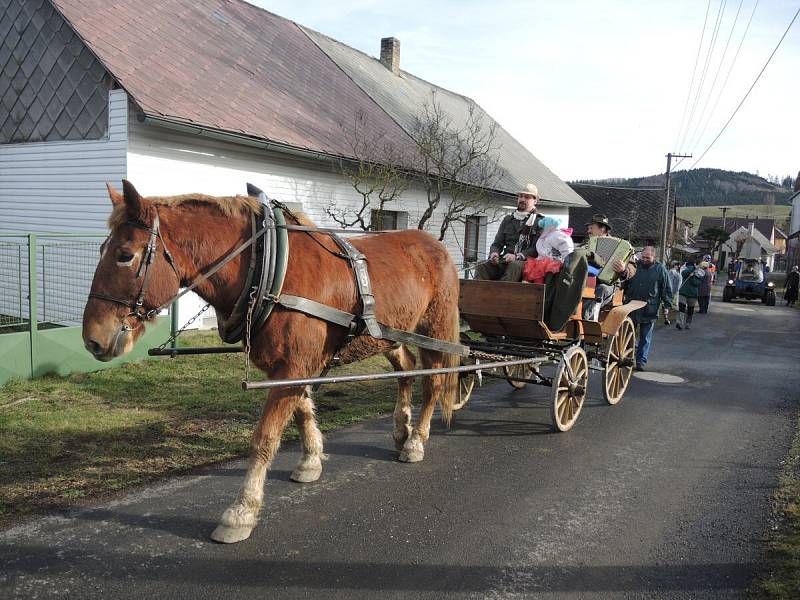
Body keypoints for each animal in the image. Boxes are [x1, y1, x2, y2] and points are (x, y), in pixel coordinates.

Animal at [83, 179, 460, 544]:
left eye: (124, 255)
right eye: (101, 249)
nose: (92, 339)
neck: (267, 269)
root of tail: (436, 246)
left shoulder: (293, 367)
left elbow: (265, 436)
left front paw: (241, 511)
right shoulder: (291, 367)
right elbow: (303, 411)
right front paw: (310, 461)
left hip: (434, 328)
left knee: (433, 382)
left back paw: (416, 440)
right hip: (388, 335)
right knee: (405, 370)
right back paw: (401, 429)